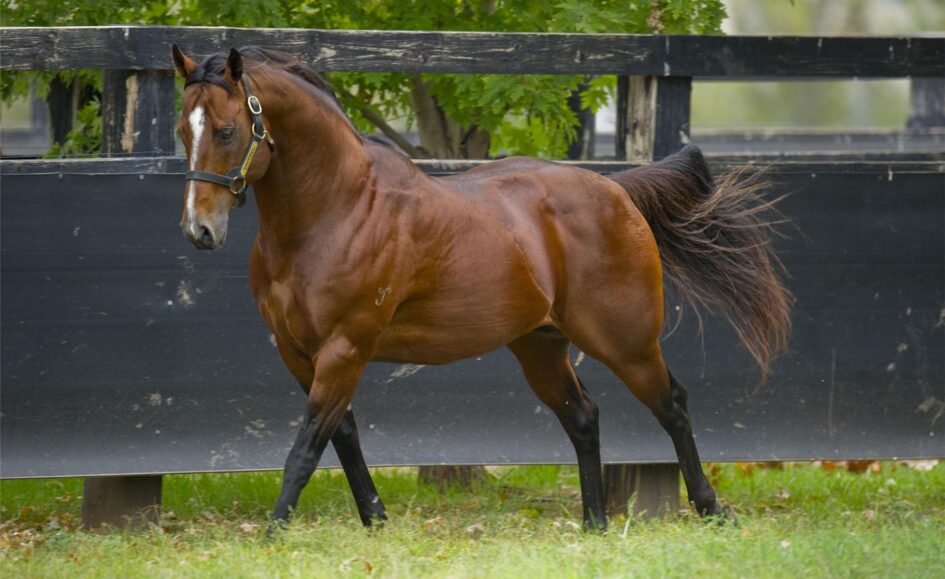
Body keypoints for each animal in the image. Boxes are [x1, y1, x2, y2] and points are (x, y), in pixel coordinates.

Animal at [171, 45, 791, 531]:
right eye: (183, 131)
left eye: (226, 130)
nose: (200, 230)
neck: (336, 211)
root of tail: (617, 190)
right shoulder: (297, 352)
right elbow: (341, 434)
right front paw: (375, 519)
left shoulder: (346, 348)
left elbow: (306, 447)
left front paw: (275, 532)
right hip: (540, 346)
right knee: (584, 417)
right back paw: (594, 523)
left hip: (627, 342)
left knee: (673, 406)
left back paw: (711, 509)